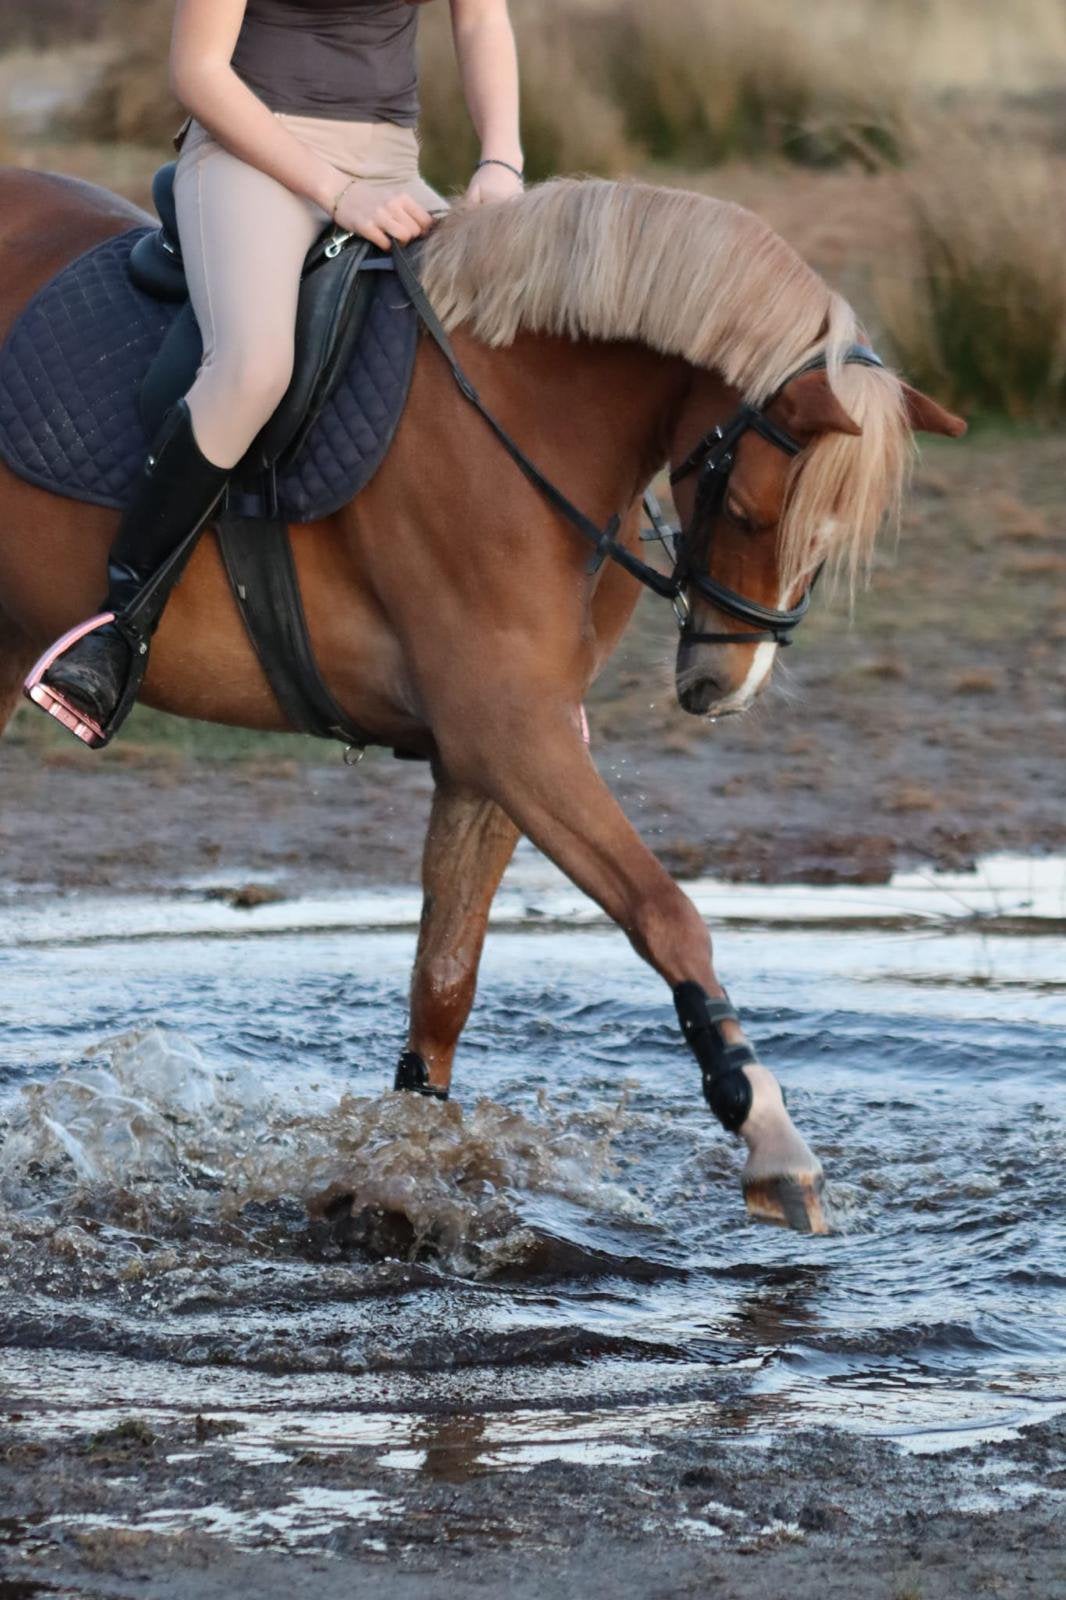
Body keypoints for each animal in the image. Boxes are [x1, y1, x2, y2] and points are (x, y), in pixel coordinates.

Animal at [0, 166, 965, 1235]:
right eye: (753, 513)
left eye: (829, 547)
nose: (722, 687)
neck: (520, 409)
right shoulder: (514, 737)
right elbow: (666, 912)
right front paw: (771, 1136)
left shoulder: (492, 752)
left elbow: (444, 985)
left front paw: (406, 1172)